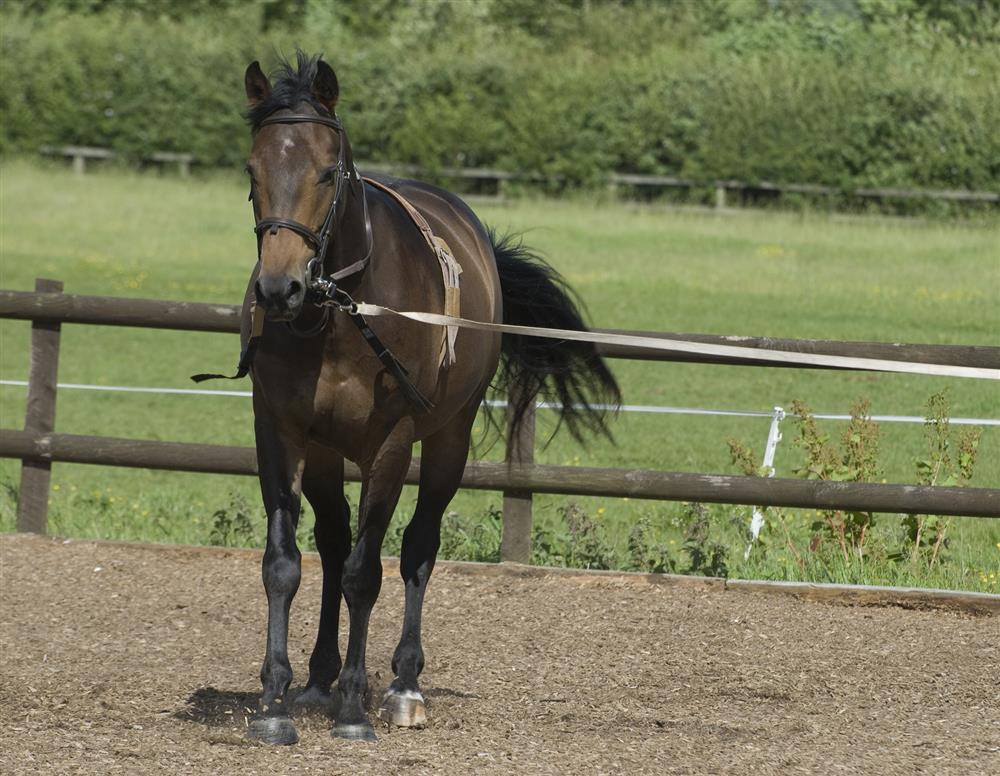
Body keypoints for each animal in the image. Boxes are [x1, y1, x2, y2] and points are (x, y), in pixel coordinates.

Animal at [234, 52, 620, 744]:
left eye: (327, 172)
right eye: (253, 170)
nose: (280, 289)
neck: (340, 314)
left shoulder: (391, 445)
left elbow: (368, 573)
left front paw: (355, 709)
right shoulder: (281, 434)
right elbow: (285, 564)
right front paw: (275, 703)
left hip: (447, 441)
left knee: (416, 549)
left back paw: (402, 686)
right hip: (328, 454)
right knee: (333, 543)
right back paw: (319, 678)